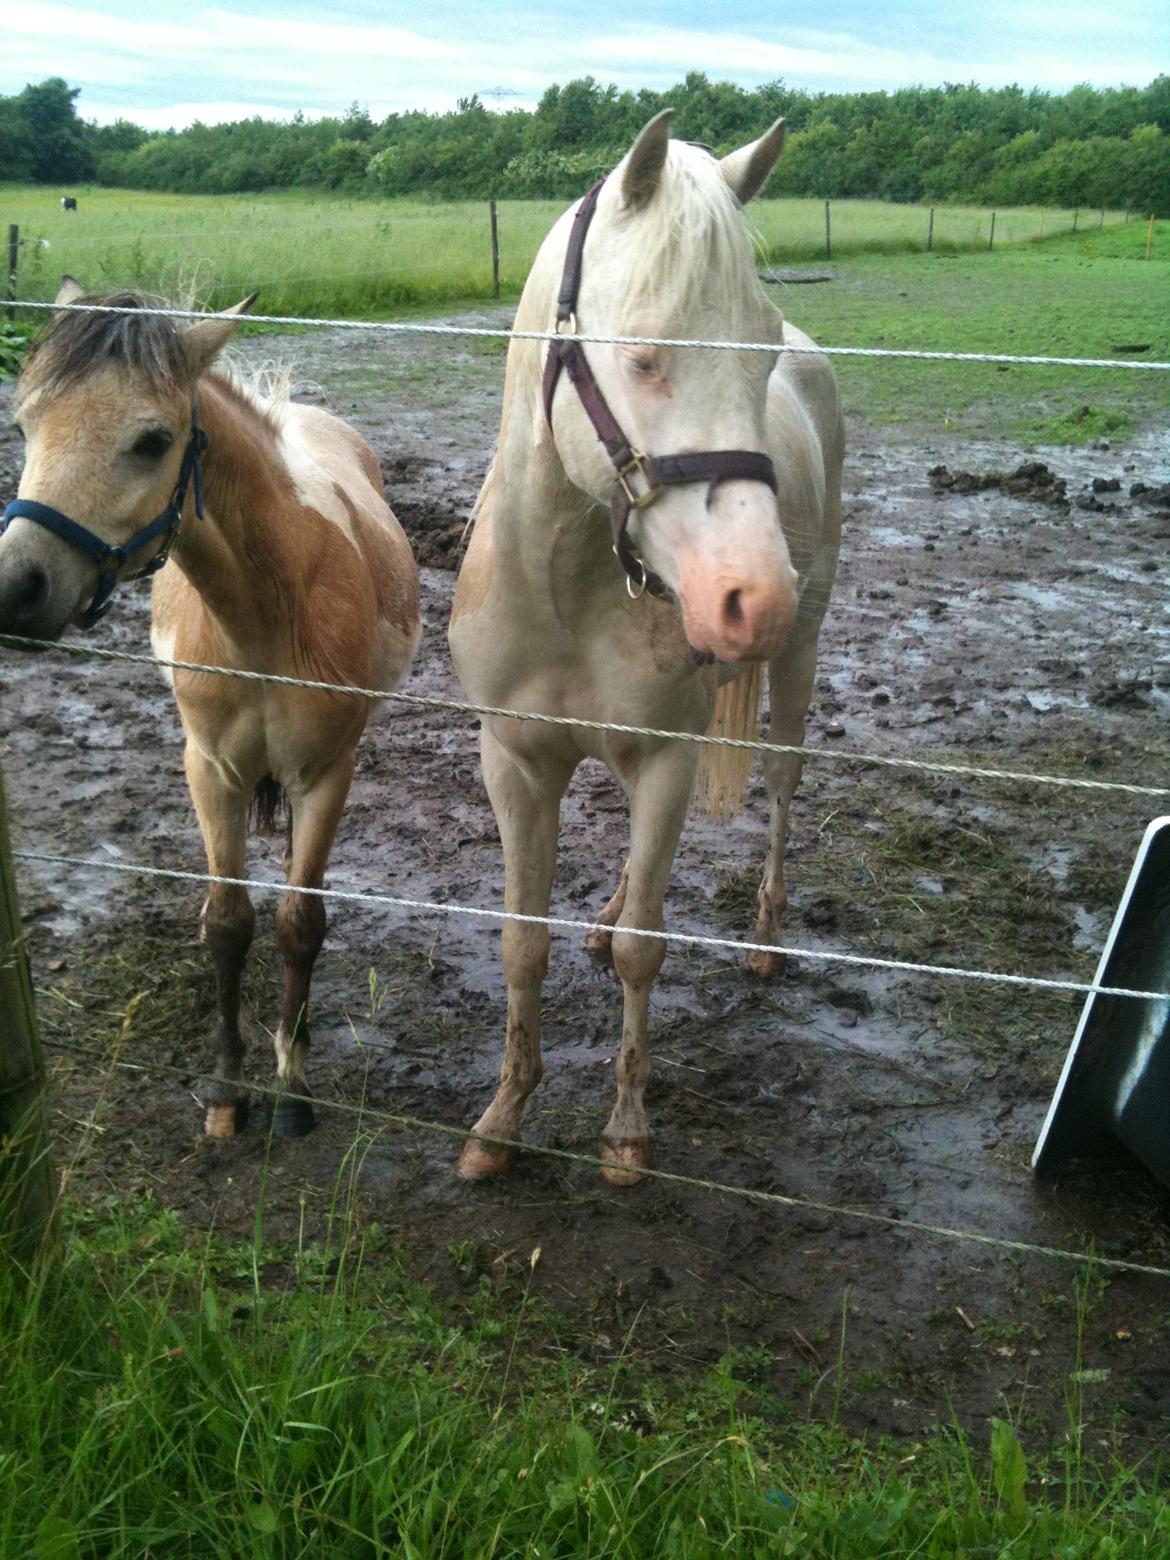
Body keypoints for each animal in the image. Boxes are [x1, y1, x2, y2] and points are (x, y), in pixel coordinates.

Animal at [0, 280, 421, 1138]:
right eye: (24, 424)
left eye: (153, 440)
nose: (15, 588)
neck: (264, 613)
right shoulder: (212, 772)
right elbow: (228, 925)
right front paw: (228, 1092)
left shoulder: (325, 776)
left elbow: (298, 926)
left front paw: (292, 1088)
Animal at [449, 111, 844, 1185]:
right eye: (643, 357)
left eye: (758, 351)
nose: (754, 601)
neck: (567, 588)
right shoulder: (516, 763)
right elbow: (522, 943)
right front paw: (501, 1118)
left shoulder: (666, 759)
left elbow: (644, 951)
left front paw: (626, 1132)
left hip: (798, 664)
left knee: (783, 784)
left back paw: (765, 939)